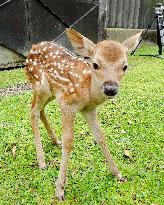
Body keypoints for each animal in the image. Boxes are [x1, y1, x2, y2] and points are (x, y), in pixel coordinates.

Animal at [25, 28, 142, 200]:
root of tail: (30, 51)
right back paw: (42, 162)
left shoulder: (89, 110)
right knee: (33, 111)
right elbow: (68, 143)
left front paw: (118, 174)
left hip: (52, 92)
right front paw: (59, 190)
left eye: (125, 66)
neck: (88, 92)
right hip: (41, 85)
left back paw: (55, 140)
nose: (110, 89)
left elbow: (100, 137)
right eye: (95, 64)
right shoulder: (67, 105)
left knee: (40, 110)